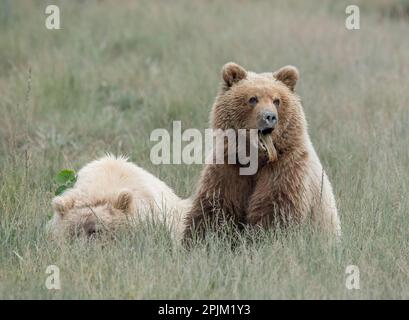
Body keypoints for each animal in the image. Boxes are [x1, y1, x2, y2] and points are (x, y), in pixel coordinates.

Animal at [183, 62, 340, 241]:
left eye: (277, 100)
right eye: (253, 98)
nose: (269, 117)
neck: (256, 159)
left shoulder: (286, 170)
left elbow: (275, 212)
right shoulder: (228, 169)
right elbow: (213, 210)